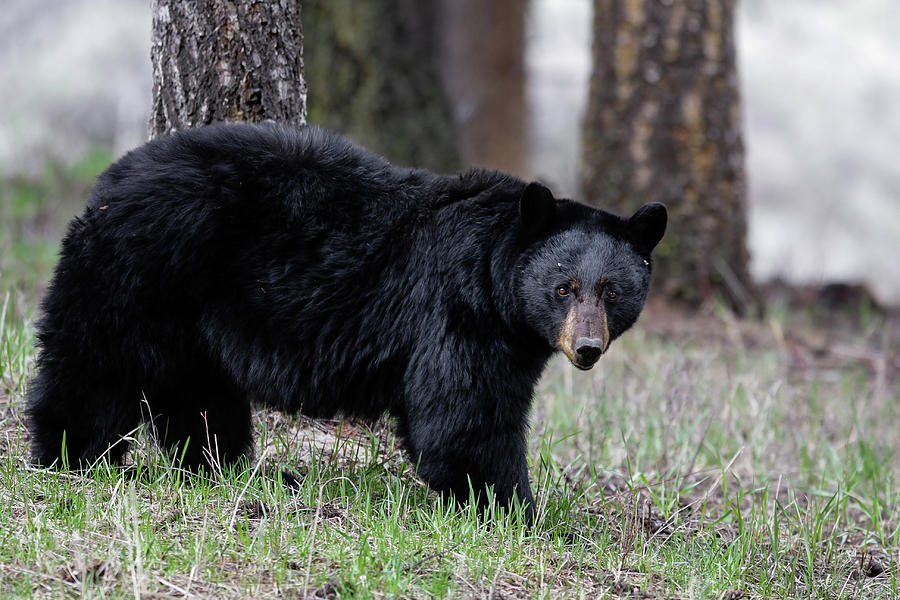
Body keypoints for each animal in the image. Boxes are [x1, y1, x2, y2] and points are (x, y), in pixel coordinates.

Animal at [28, 123, 664, 520]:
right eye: (564, 287)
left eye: (612, 291)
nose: (587, 347)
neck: (494, 274)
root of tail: (110, 180)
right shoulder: (458, 314)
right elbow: (466, 418)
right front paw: (515, 510)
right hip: (140, 269)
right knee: (94, 365)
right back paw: (70, 457)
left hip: (188, 314)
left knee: (197, 392)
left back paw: (230, 469)